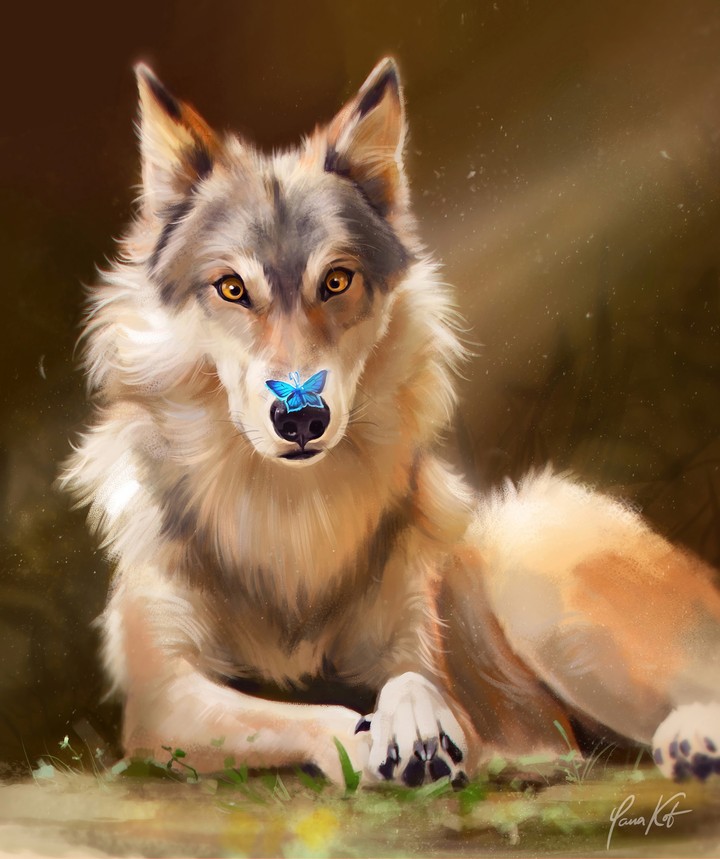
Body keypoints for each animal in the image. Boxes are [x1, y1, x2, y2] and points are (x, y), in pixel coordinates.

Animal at [62, 58, 720, 786]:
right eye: (232, 287)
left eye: (336, 280)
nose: (302, 415)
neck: (291, 524)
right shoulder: (159, 701)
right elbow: (292, 710)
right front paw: (363, 738)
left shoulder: (421, 644)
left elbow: (416, 680)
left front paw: (417, 727)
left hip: (532, 563)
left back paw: (692, 741)